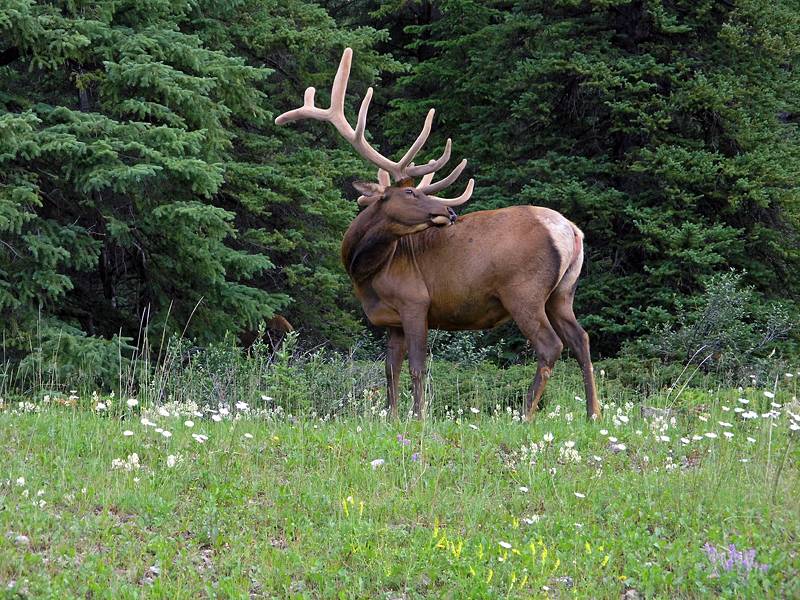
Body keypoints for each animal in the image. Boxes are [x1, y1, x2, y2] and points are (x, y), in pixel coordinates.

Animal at [278, 48, 596, 418]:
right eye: (410, 192)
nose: (450, 211)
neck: (366, 272)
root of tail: (571, 231)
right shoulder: (392, 321)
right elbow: (390, 369)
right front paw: (391, 417)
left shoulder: (415, 301)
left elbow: (417, 366)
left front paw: (418, 417)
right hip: (562, 293)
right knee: (582, 340)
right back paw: (594, 413)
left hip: (523, 291)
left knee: (550, 346)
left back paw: (525, 414)